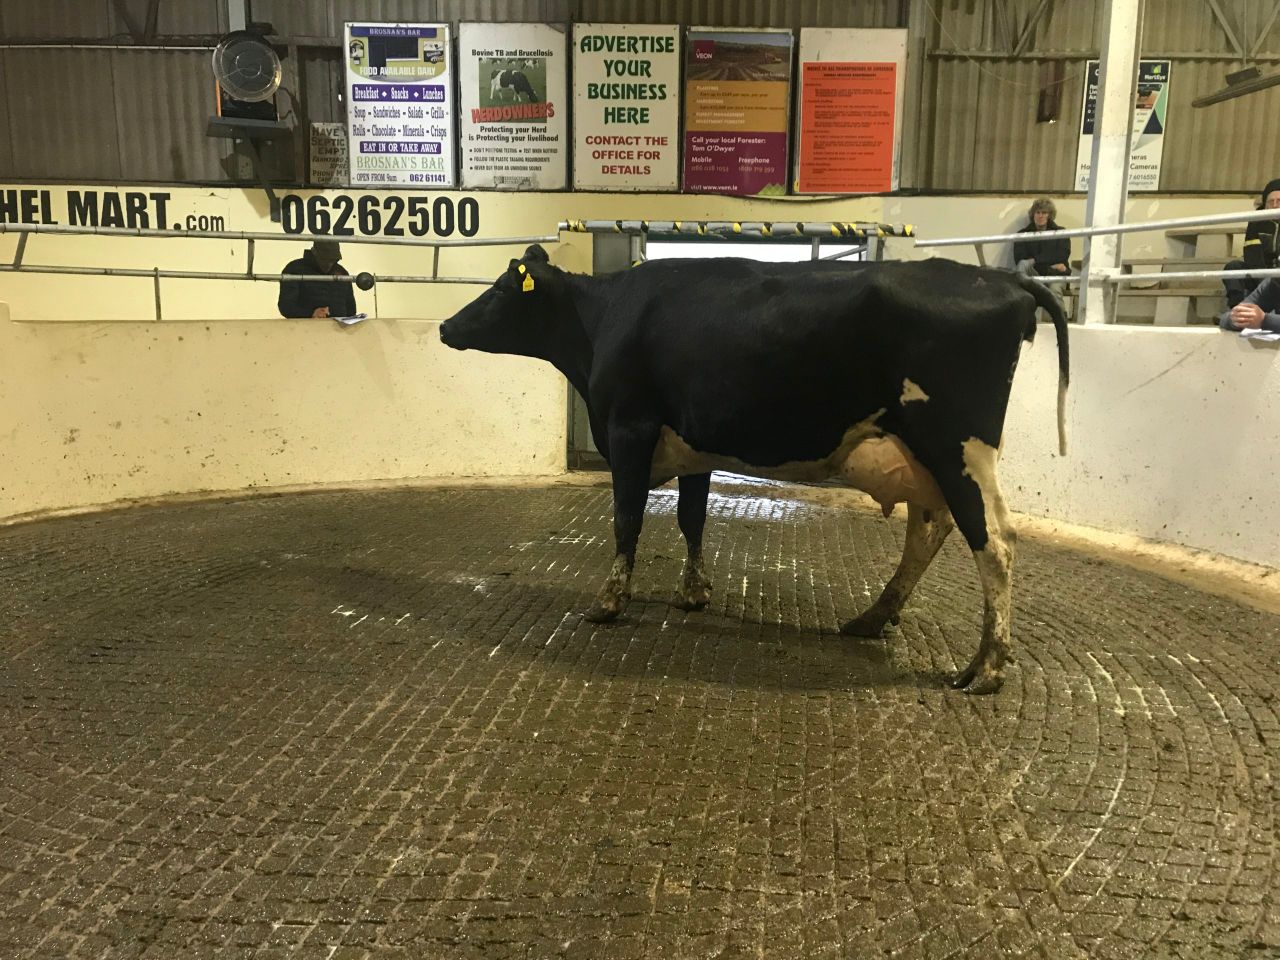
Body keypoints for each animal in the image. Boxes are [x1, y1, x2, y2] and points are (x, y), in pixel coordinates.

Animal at [439, 246, 1069, 695]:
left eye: (502, 288)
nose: (445, 327)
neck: (601, 322)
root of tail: (1003, 280)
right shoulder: (691, 445)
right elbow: (691, 519)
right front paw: (693, 593)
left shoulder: (629, 429)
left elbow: (626, 519)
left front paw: (609, 602)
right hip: (927, 457)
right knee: (930, 531)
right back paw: (873, 617)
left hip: (958, 447)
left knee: (995, 543)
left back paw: (987, 667)